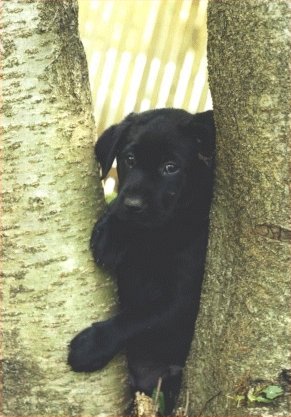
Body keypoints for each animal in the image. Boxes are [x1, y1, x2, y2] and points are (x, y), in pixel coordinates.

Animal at [68, 108, 214, 412]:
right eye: (130, 159)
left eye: (171, 167)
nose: (133, 205)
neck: (158, 232)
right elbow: (115, 207)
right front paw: (111, 235)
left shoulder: (183, 297)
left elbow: (138, 318)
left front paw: (91, 346)